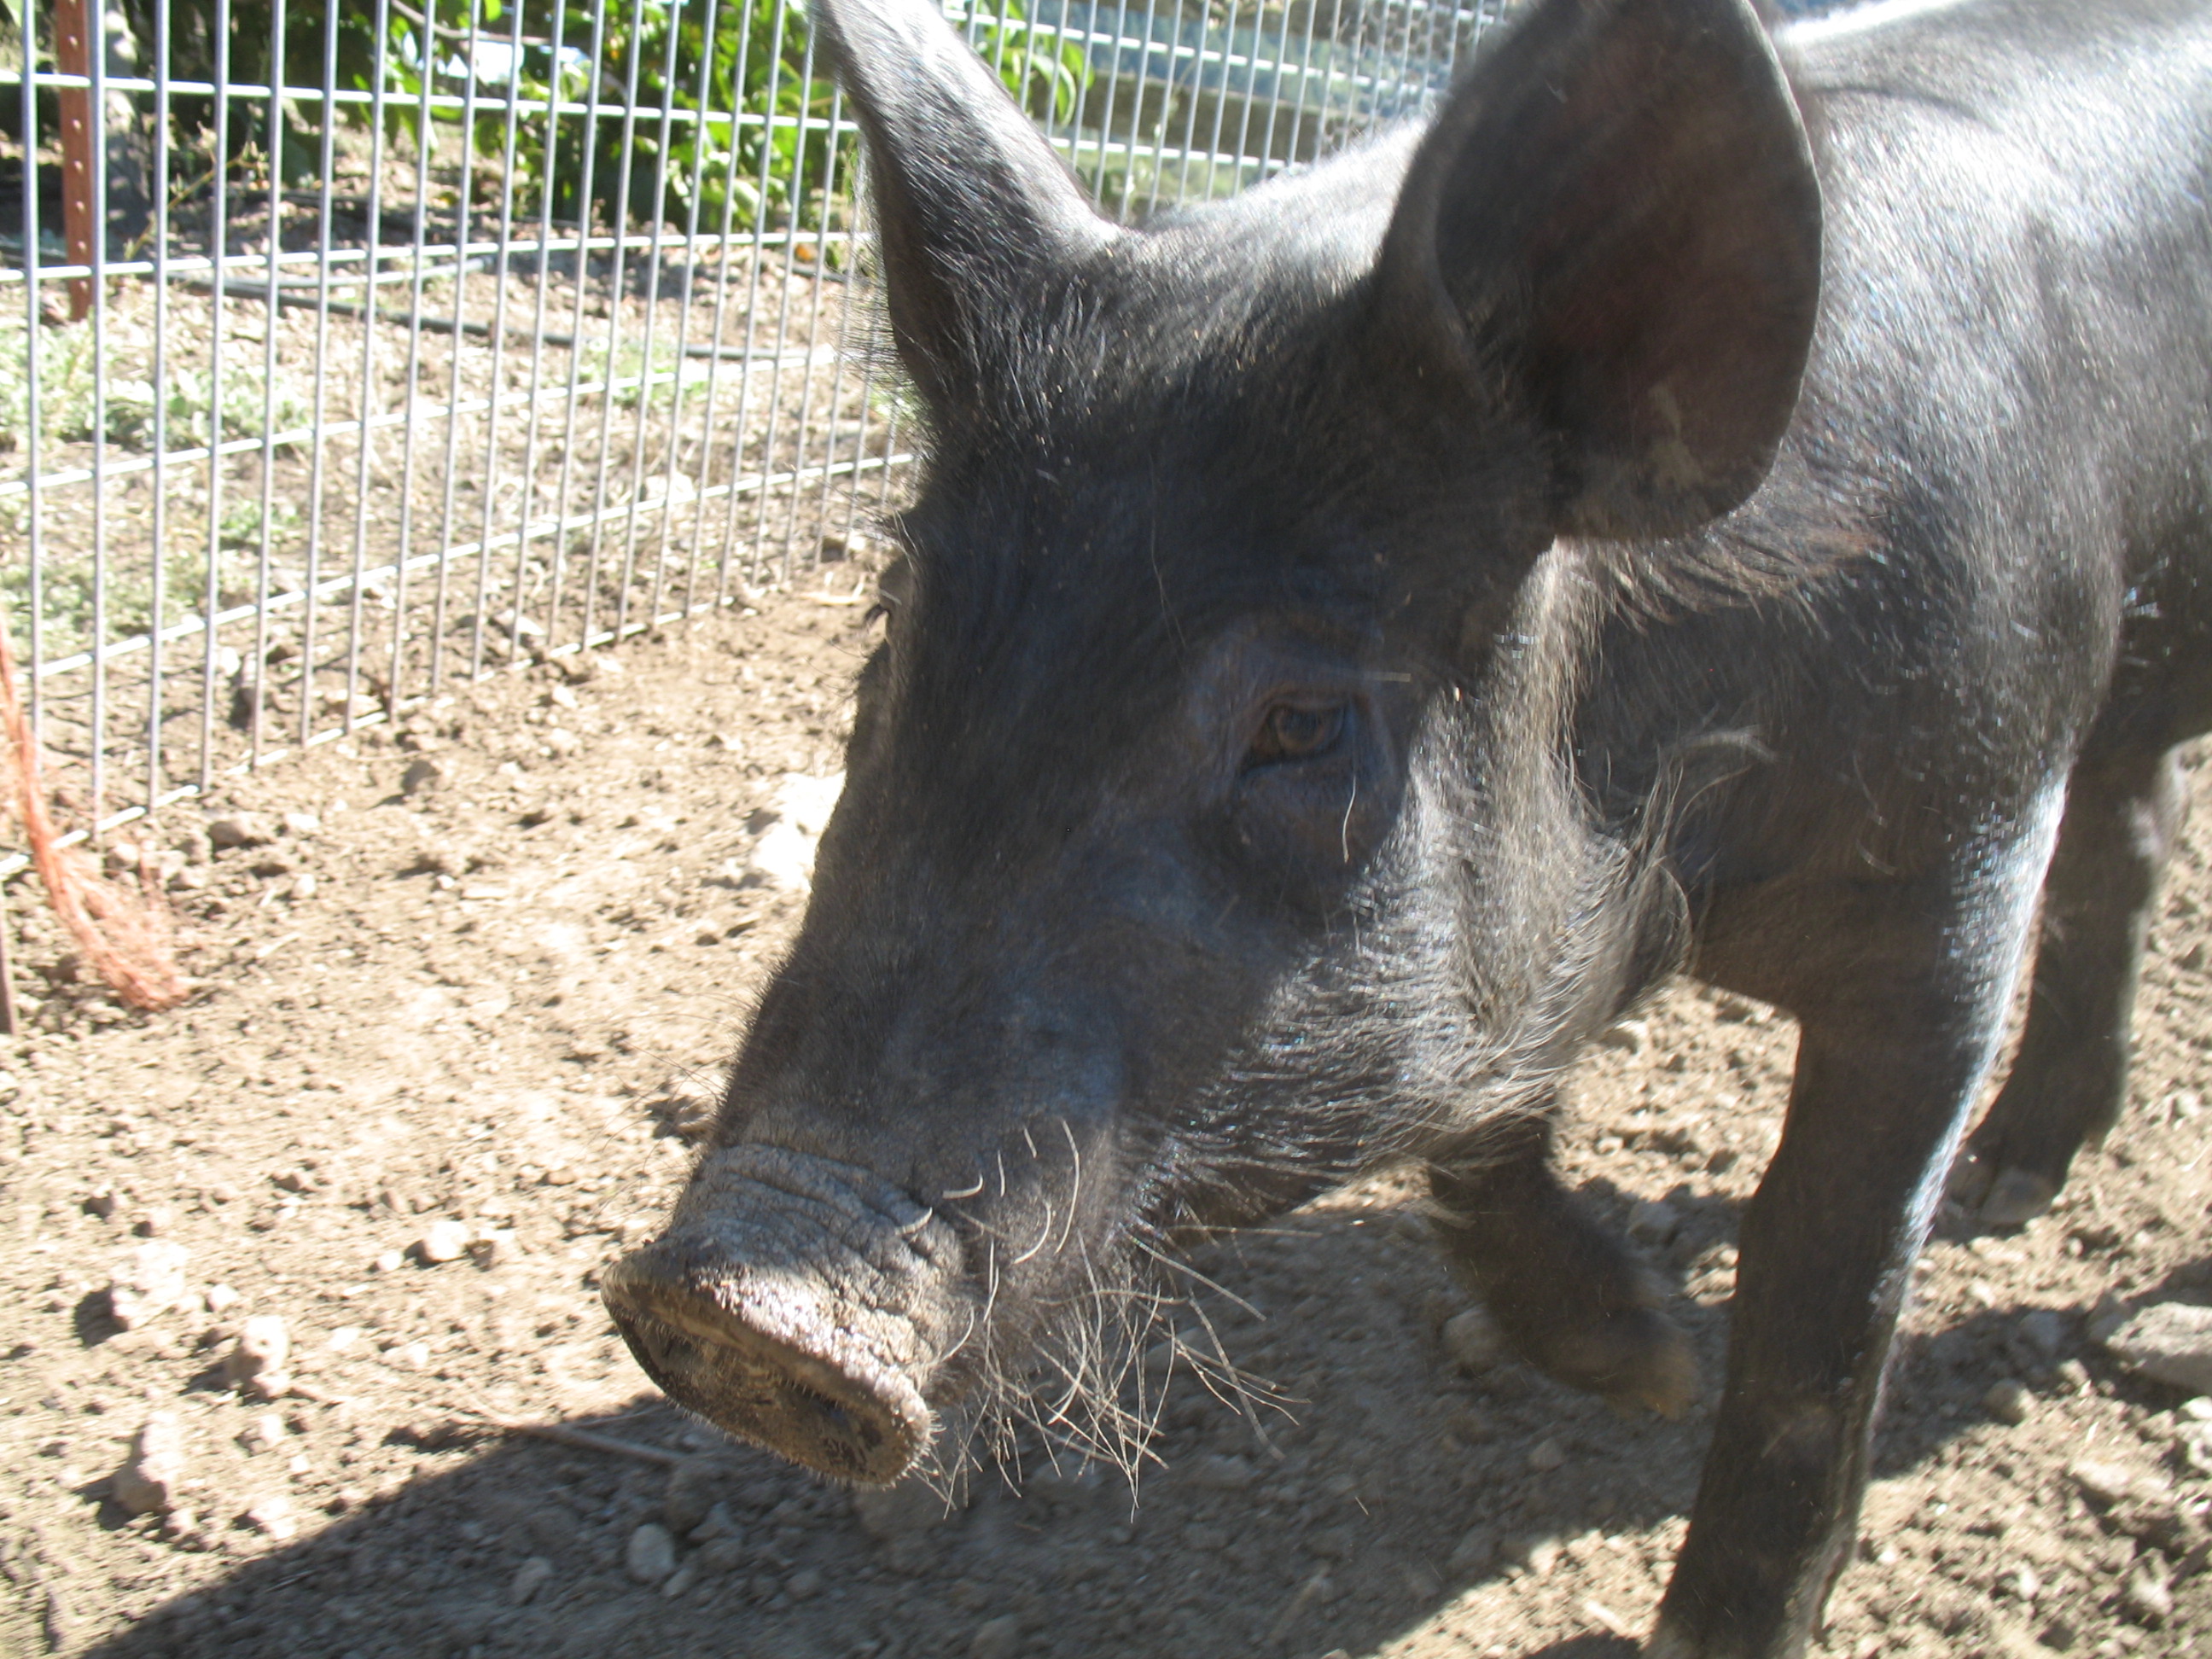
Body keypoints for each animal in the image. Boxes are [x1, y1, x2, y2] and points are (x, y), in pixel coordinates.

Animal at [604, 0, 2212, 1652]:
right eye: (894, 616)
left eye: (1304, 723)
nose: (732, 1300)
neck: (1684, 883)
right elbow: (1481, 1137)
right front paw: (1638, 1361)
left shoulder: (1964, 869)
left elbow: (1823, 1300)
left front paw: (1690, 1443)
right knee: (2140, 830)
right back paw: (2016, 1172)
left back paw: (2014, 1200)